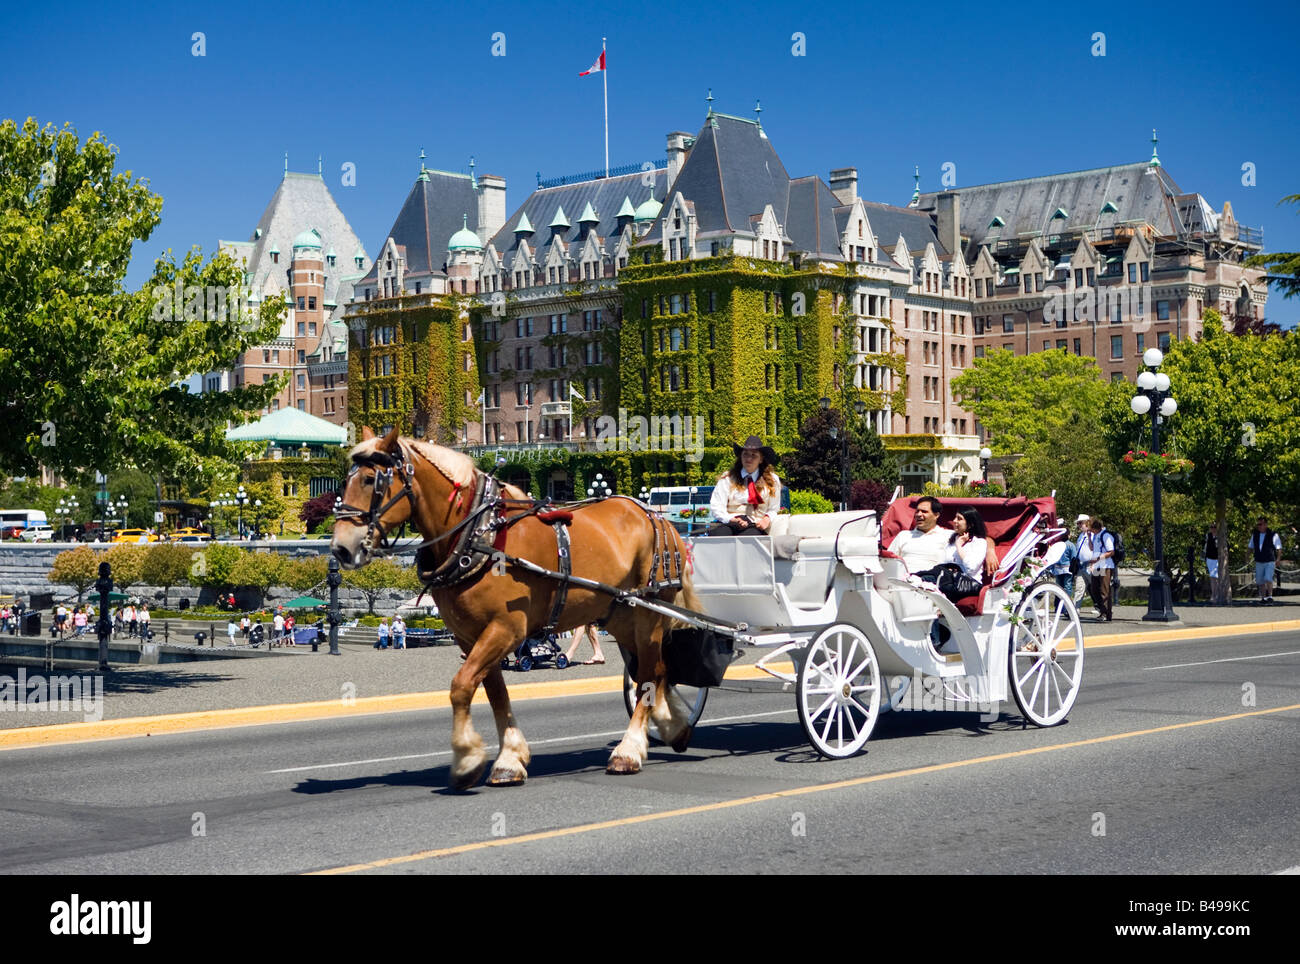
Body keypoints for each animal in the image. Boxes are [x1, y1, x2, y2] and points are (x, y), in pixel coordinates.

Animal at [330, 431, 707, 795]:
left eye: (371, 480)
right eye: (343, 483)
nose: (340, 549)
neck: (479, 536)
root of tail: (656, 515)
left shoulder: (506, 628)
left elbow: (461, 685)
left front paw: (467, 760)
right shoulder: (470, 635)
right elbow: (494, 692)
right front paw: (509, 758)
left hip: (649, 614)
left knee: (648, 675)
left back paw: (628, 751)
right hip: (622, 614)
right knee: (656, 671)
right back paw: (672, 726)